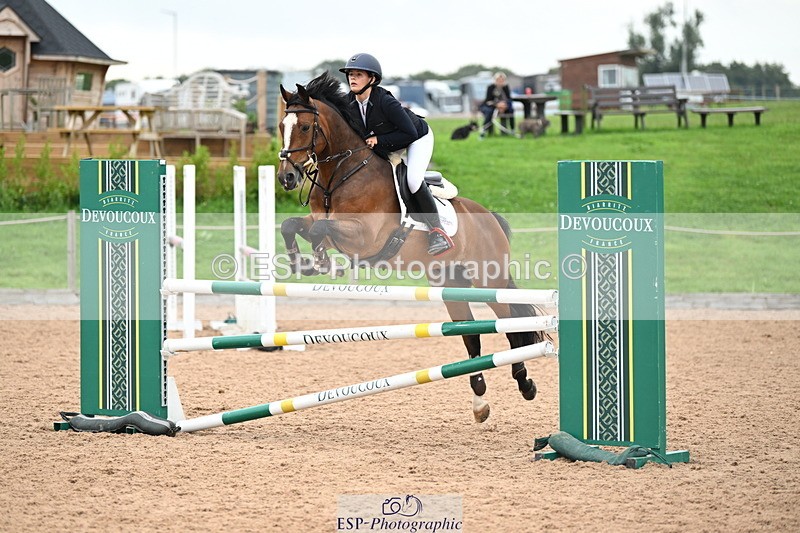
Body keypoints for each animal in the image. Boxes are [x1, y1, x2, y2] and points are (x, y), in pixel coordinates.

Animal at [276, 72, 545, 423]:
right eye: (281, 126)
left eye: (306, 127)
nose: (286, 177)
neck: (342, 174)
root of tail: (490, 218)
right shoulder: (322, 223)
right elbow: (293, 225)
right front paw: (303, 262)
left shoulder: (365, 236)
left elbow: (322, 230)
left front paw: (320, 260)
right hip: (451, 284)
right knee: (471, 336)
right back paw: (480, 403)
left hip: (489, 281)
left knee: (511, 324)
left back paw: (525, 384)